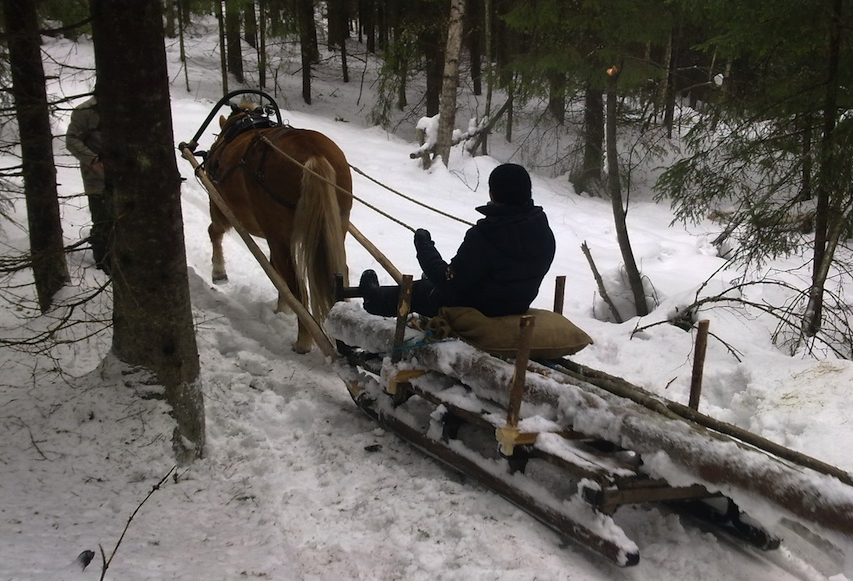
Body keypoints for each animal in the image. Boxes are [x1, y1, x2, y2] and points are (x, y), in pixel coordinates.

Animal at [204, 103, 353, 353]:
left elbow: (214, 232)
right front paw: (281, 310)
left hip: (277, 233)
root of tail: (314, 155)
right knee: (336, 275)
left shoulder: (219, 203)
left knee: (297, 286)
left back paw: (302, 342)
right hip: (335, 228)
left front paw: (219, 272)